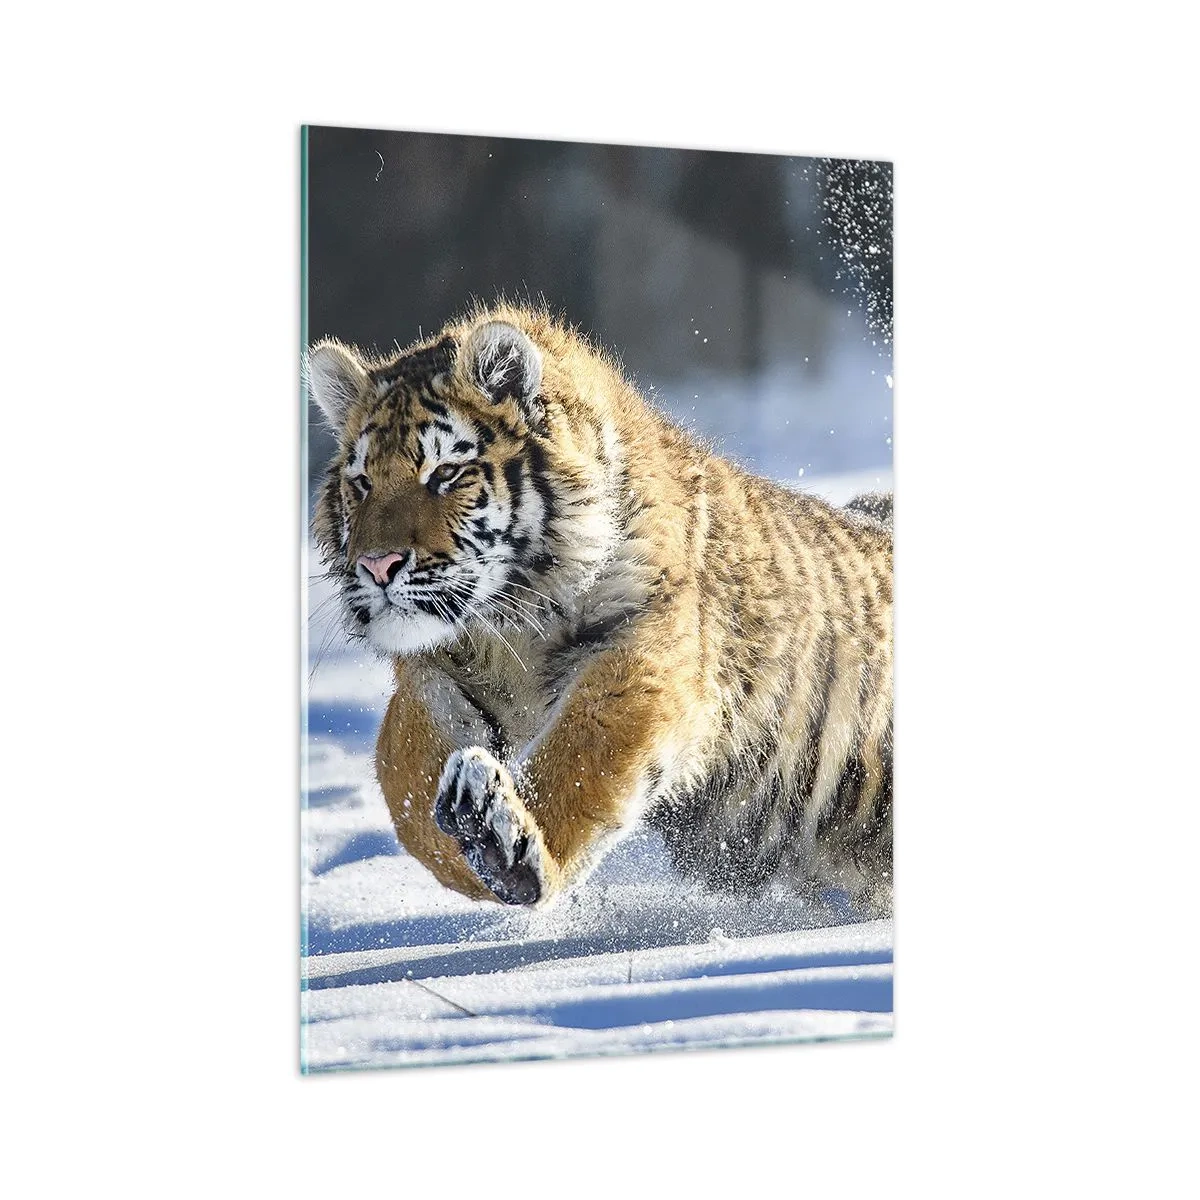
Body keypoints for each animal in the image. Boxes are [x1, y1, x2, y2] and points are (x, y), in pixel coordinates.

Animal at [308, 303, 893, 915]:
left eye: (445, 474)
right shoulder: (430, 675)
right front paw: (469, 846)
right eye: (361, 482)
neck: (504, 623)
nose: (377, 566)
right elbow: (406, 787)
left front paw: (506, 848)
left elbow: (579, 760)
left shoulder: (642, 656)